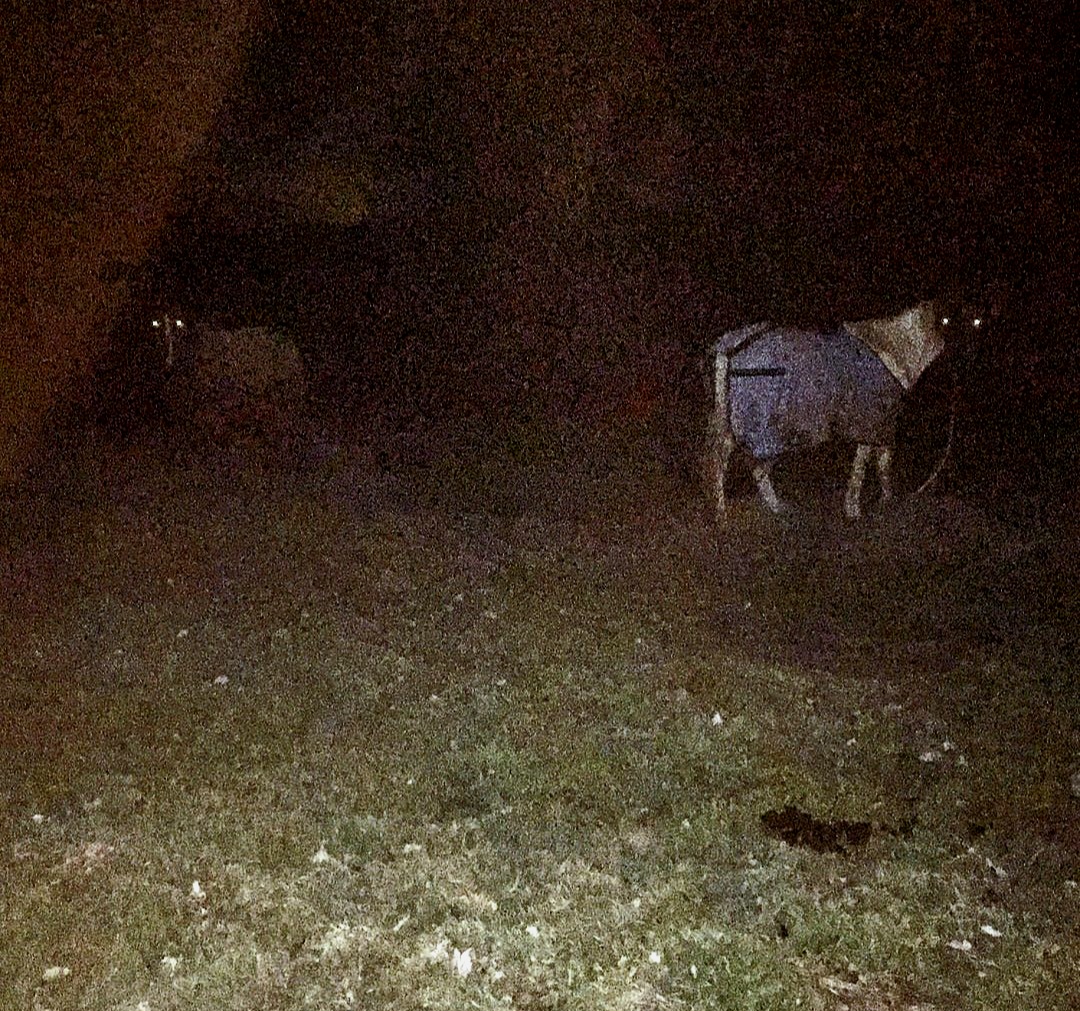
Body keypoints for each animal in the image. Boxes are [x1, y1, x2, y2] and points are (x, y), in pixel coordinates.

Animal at [709, 301, 958, 519]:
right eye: (947, 320)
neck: (894, 347)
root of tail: (728, 343)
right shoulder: (873, 422)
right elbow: (867, 466)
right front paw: (857, 509)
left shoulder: (880, 424)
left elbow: (881, 464)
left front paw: (885, 502)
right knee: (730, 462)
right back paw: (723, 512)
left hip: (736, 422)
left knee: (741, 463)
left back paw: (771, 507)